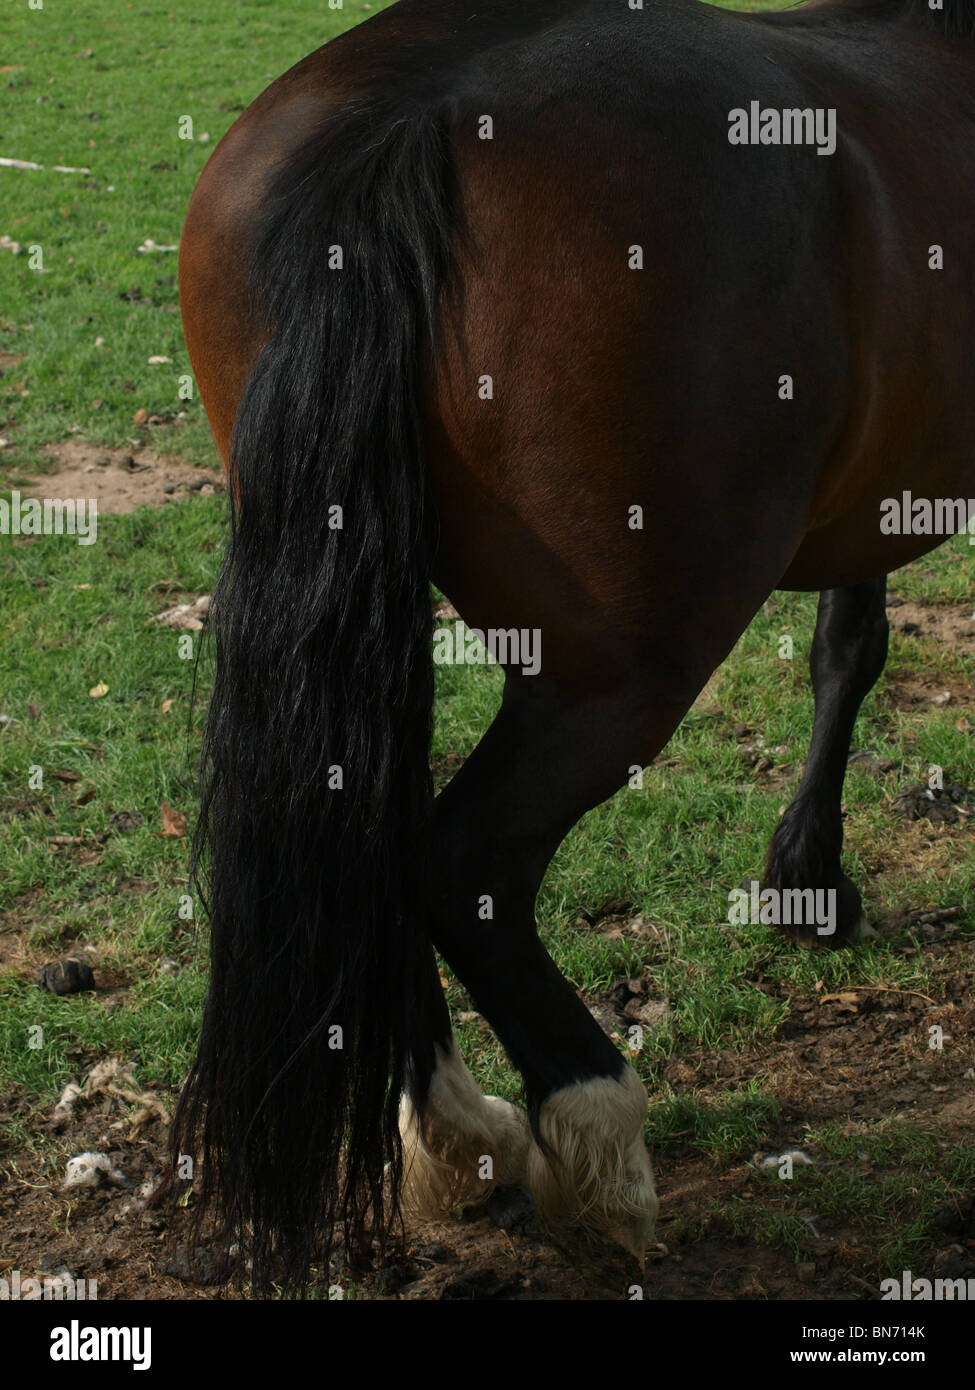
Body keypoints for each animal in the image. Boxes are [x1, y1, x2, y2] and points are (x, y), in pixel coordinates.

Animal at [168, 0, 973, 1289]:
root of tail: (405, 119)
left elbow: (847, 643)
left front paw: (807, 872)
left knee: (378, 824)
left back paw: (454, 1128)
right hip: (624, 664)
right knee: (463, 861)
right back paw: (594, 1137)